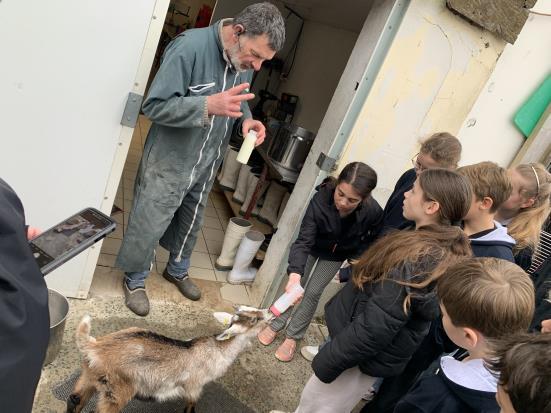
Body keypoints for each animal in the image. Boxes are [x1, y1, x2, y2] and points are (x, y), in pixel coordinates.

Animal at [66, 305, 274, 413]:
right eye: (254, 320)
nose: (270, 312)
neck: (217, 350)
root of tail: (94, 346)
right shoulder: (194, 387)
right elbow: (190, 407)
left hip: (89, 377)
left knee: (75, 399)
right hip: (116, 390)